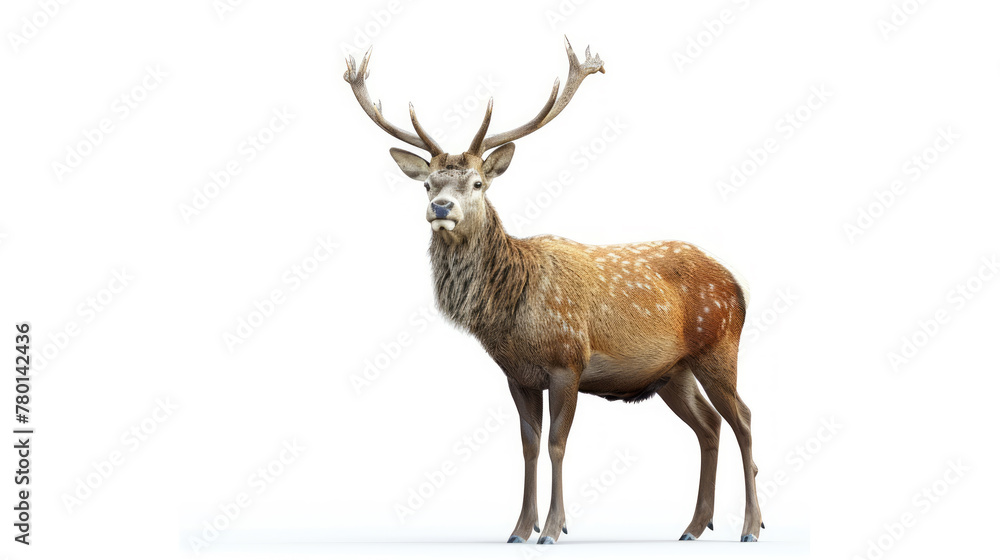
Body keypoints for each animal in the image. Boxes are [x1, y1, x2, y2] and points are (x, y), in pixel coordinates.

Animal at [344, 37, 763, 545]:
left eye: (478, 183)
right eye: (428, 183)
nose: (441, 207)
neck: (508, 313)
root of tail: (739, 283)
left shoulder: (569, 361)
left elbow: (557, 444)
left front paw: (552, 528)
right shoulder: (517, 374)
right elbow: (528, 446)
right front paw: (518, 529)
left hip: (718, 345)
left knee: (743, 419)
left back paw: (751, 526)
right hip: (673, 372)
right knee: (709, 426)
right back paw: (694, 526)